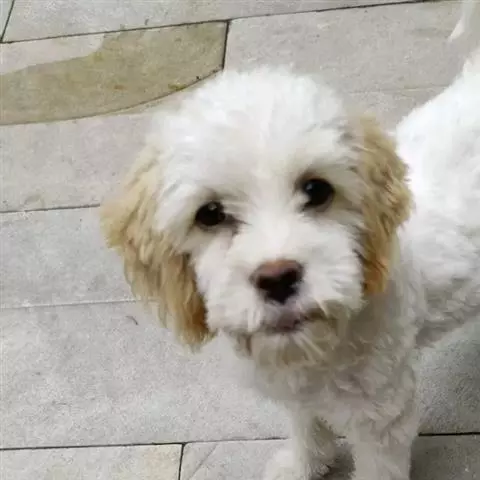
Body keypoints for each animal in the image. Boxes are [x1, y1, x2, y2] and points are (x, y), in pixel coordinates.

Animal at [101, 23, 480, 480]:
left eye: (317, 190)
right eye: (210, 214)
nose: (278, 276)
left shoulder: (382, 413)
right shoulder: (296, 384)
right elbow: (306, 423)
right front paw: (304, 464)